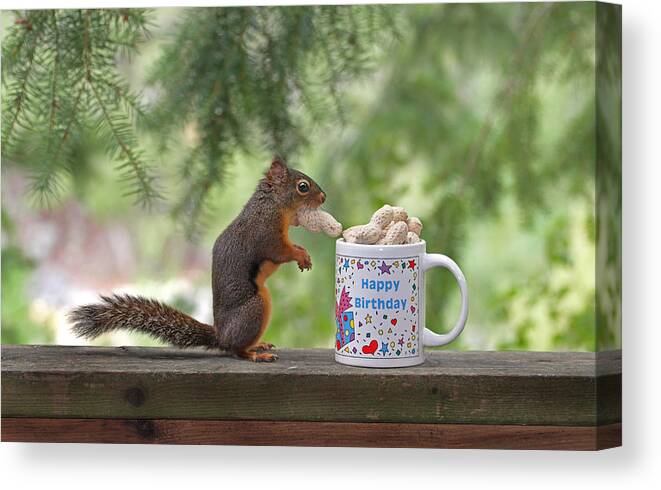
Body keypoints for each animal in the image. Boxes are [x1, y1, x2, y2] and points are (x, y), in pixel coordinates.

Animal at [68, 159, 326, 362]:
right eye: (303, 187)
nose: (324, 197)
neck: (271, 204)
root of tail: (221, 335)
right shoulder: (267, 234)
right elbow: (282, 251)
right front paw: (301, 255)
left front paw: (304, 254)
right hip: (255, 308)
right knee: (235, 350)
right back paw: (254, 354)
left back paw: (258, 345)